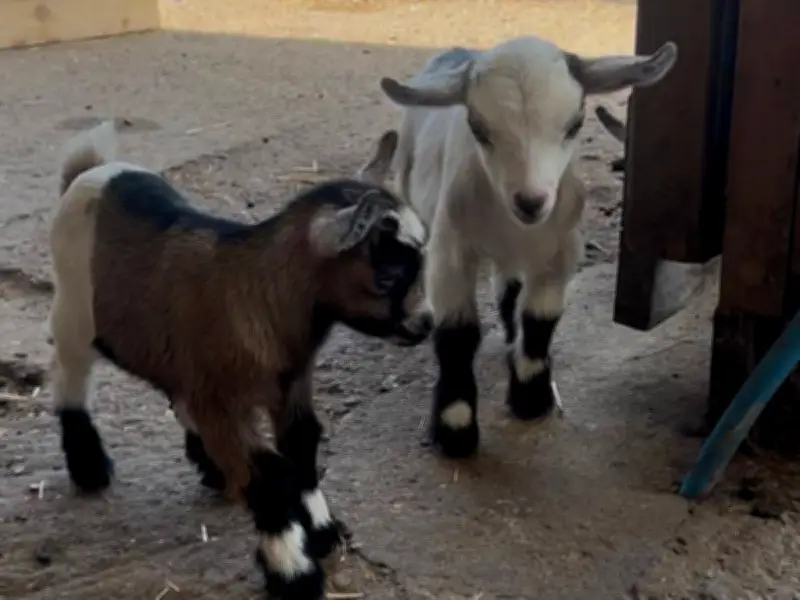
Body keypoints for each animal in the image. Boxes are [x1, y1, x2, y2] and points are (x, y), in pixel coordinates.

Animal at [48, 121, 430, 600]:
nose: (425, 324)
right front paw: (292, 571)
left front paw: (322, 532)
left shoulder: (289, 386)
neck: (258, 295)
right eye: (390, 275)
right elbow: (269, 474)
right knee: (71, 379)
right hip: (74, 310)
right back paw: (90, 467)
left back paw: (209, 465)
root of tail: (90, 170)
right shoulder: (223, 403)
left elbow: (302, 446)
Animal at [377, 36, 678, 458]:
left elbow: (539, 319)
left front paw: (531, 398)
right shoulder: (450, 248)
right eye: (477, 127)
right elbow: (457, 333)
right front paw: (455, 428)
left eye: (575, 124)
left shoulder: (560, 250)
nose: (531, 201)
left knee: (509, 284)